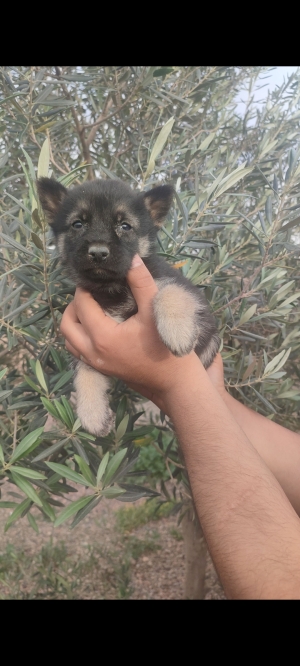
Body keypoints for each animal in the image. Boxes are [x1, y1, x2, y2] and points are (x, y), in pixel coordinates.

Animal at [38, 178, 220, 436]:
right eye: (77, 224)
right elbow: (84, 371)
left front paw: (177, 332)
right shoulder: (87, 341)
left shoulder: (186, 291)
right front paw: (92, 413)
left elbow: (170, 291)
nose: (98, 253)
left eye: (125, 226)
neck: (112, 287)